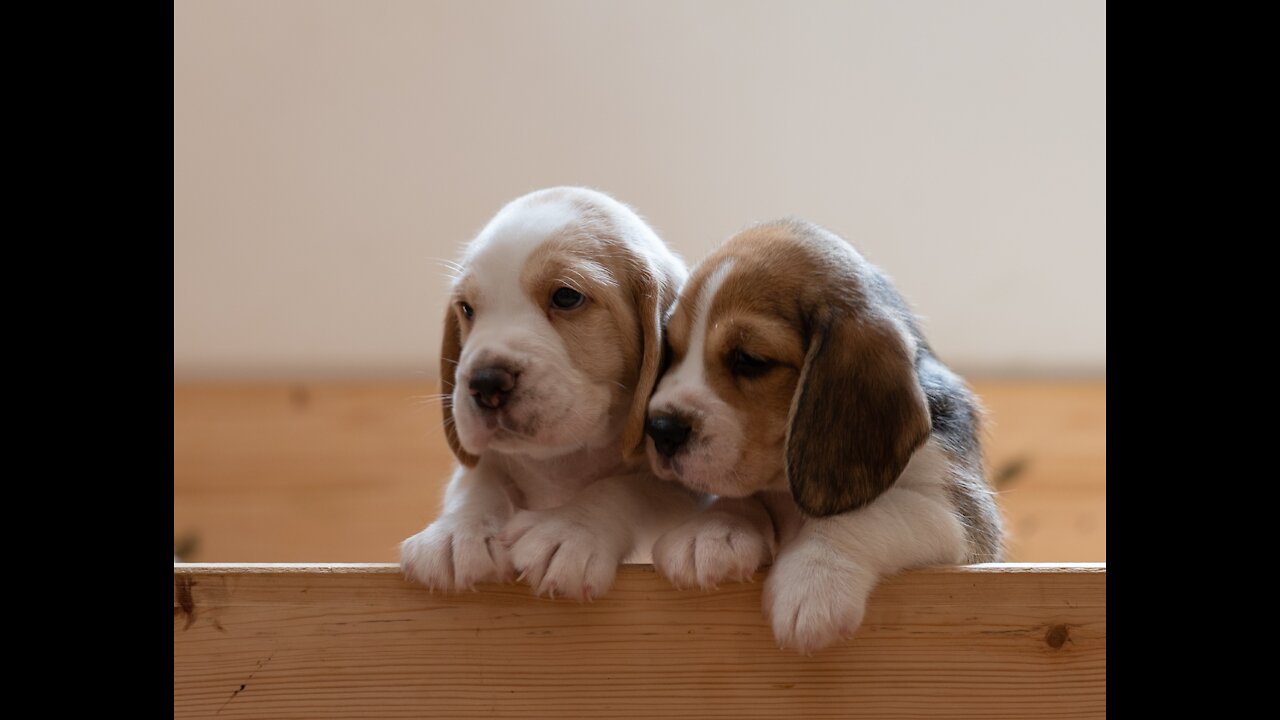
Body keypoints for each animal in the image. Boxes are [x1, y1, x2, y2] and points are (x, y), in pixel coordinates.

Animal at [401, 185, 696, 599]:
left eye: (566, 297)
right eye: (467, 309)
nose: (485, 381)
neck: (561, 461)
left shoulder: (685, 487)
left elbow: (626, 487)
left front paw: (570, 529)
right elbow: (480, 479)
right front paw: (459, 531)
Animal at [650, 219, 998, 650]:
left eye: (749, 360)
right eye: (673, 349)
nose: (659, 429)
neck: (788, 491)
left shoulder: (958, 517)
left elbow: (869, 513)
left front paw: (813, 578)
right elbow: (737, 496)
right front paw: (712, 532)